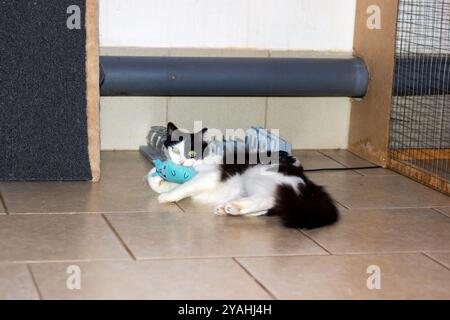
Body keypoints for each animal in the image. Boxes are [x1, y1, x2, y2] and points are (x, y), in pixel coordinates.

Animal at [148, 122, 338, 230]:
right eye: (175, 150)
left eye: (192, 153)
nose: (180, 162)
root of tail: (307, 182)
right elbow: (171, 184)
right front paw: (158, 179)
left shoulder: (211, 175)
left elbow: (186, 186)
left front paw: (167, 196)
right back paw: (229, 208)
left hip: (256, 175)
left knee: (269, 199)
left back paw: (234, 207)